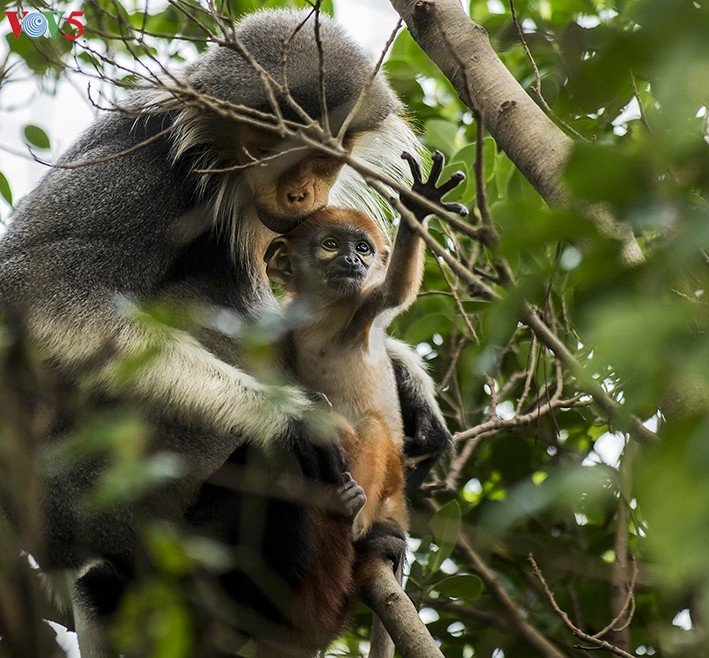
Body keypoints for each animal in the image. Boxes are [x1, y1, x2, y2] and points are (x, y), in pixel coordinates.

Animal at [264, 152, 464, 540]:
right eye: (331, 244)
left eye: (363, 248)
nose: (354, 260)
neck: (321, 312)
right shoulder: (281, 323)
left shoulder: (362, 306)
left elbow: (396, 290)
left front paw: (420, 204)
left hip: (386, 479)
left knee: (373, 429)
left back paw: (351, 509)